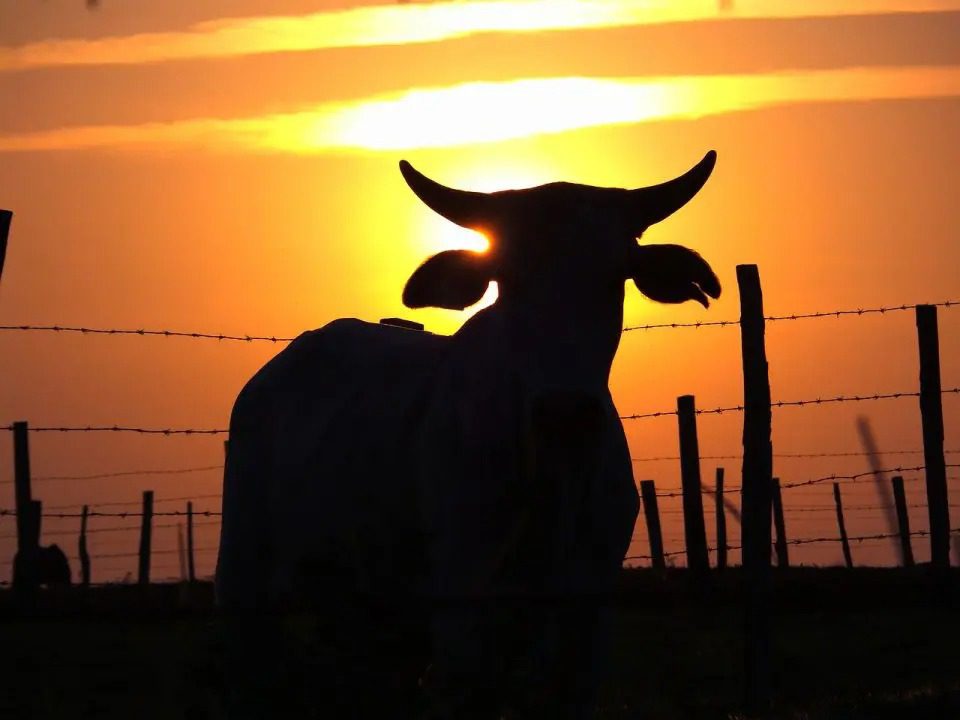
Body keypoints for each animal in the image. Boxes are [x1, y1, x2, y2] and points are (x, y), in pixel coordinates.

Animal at [214, 153, 716, 720]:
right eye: (507, 278)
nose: (565, 412)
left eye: (617, 274)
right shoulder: (460, 594)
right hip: (245, 576)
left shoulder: (588, 602)